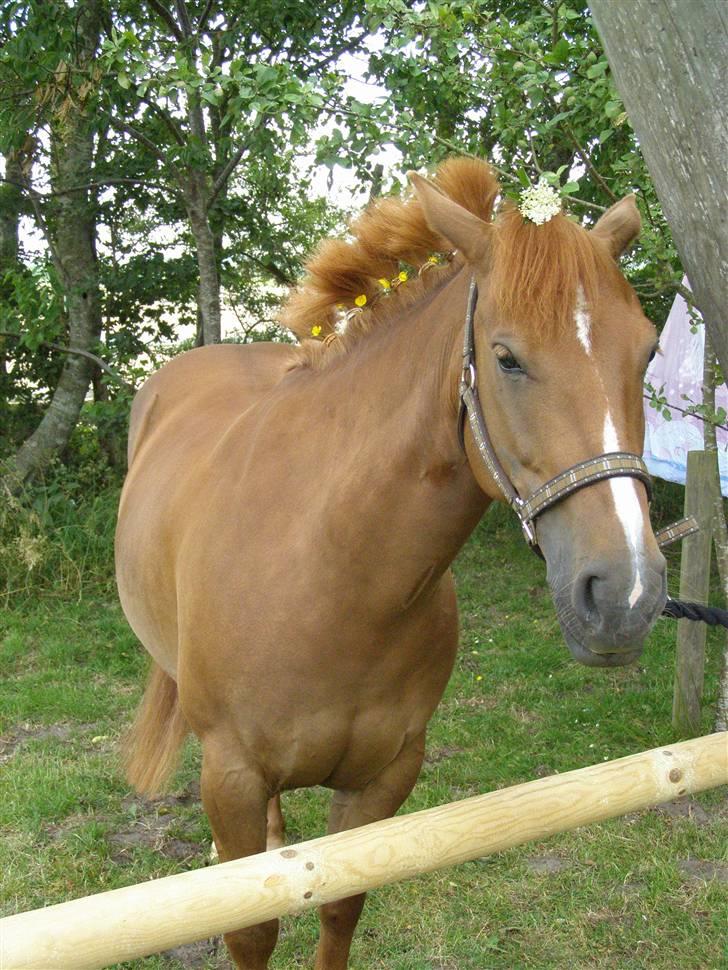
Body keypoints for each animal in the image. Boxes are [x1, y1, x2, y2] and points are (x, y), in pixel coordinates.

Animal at [118, 155, 664, 964]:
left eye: (648, 349)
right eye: (506, 357)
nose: (625, 593)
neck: (329, 572)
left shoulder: (386, 777)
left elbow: (341, 906)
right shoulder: (233, 778)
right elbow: (252, 928)